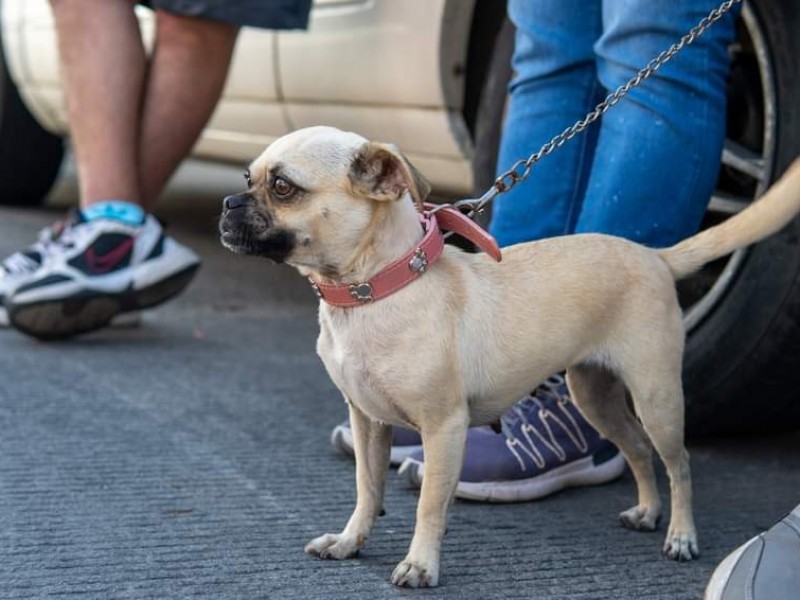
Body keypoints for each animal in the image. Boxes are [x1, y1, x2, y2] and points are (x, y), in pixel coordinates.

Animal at [219, 124, 800, 588]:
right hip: (593, 395)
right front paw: (349, 542)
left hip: (657, 397)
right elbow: (367, 488)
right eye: (248, 177)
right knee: (637, 451)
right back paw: (648, 512)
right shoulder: (367, 422)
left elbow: (429, 504)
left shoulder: (444, 429)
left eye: (283, 187)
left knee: (678, 464)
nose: (227, 203)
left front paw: (421, 565)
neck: (373, 292)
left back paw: (681, 534)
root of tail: (655, 256)